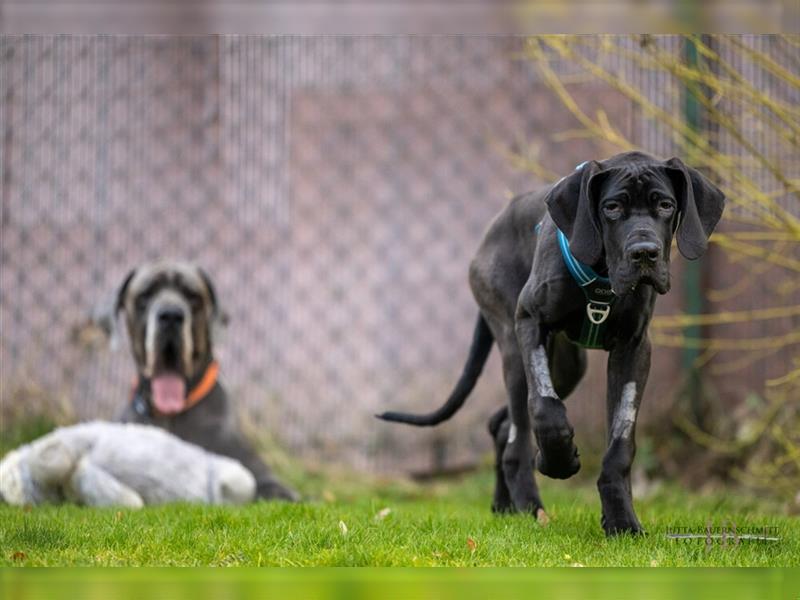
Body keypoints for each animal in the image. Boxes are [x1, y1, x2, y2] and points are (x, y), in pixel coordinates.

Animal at [378, 152, 720, 536]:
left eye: (665, 205)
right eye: (612, 207)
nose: (644, 253)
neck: (602, 279)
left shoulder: (633, 349)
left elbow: (620, 441)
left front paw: (621, 520)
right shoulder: (531, 322)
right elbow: (545, 408)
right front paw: (559, 460)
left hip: (568, 366)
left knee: (503, 425)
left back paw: (505, 505)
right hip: (514, 346)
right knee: (518, 434)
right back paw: (531, 506)